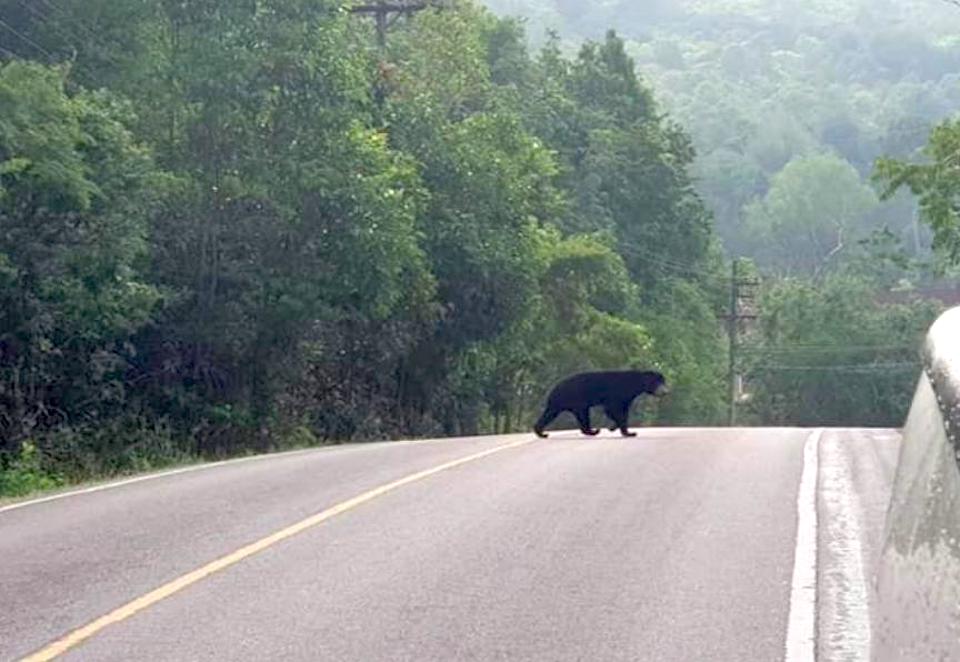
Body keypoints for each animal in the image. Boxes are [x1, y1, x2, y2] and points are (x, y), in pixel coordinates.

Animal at [533, 370, 669, 438]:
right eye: (658, 382)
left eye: (664, 381)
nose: (665, 391)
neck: (634, 384)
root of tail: (554, 388)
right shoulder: (617, 393)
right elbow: (612, 409)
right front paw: (628, 432)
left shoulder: (626, 398)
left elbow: (623, 411)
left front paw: (618, 428)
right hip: (574, 399)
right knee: (579, 415)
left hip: (564, 403)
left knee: (550, 414)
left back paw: (541, 432)